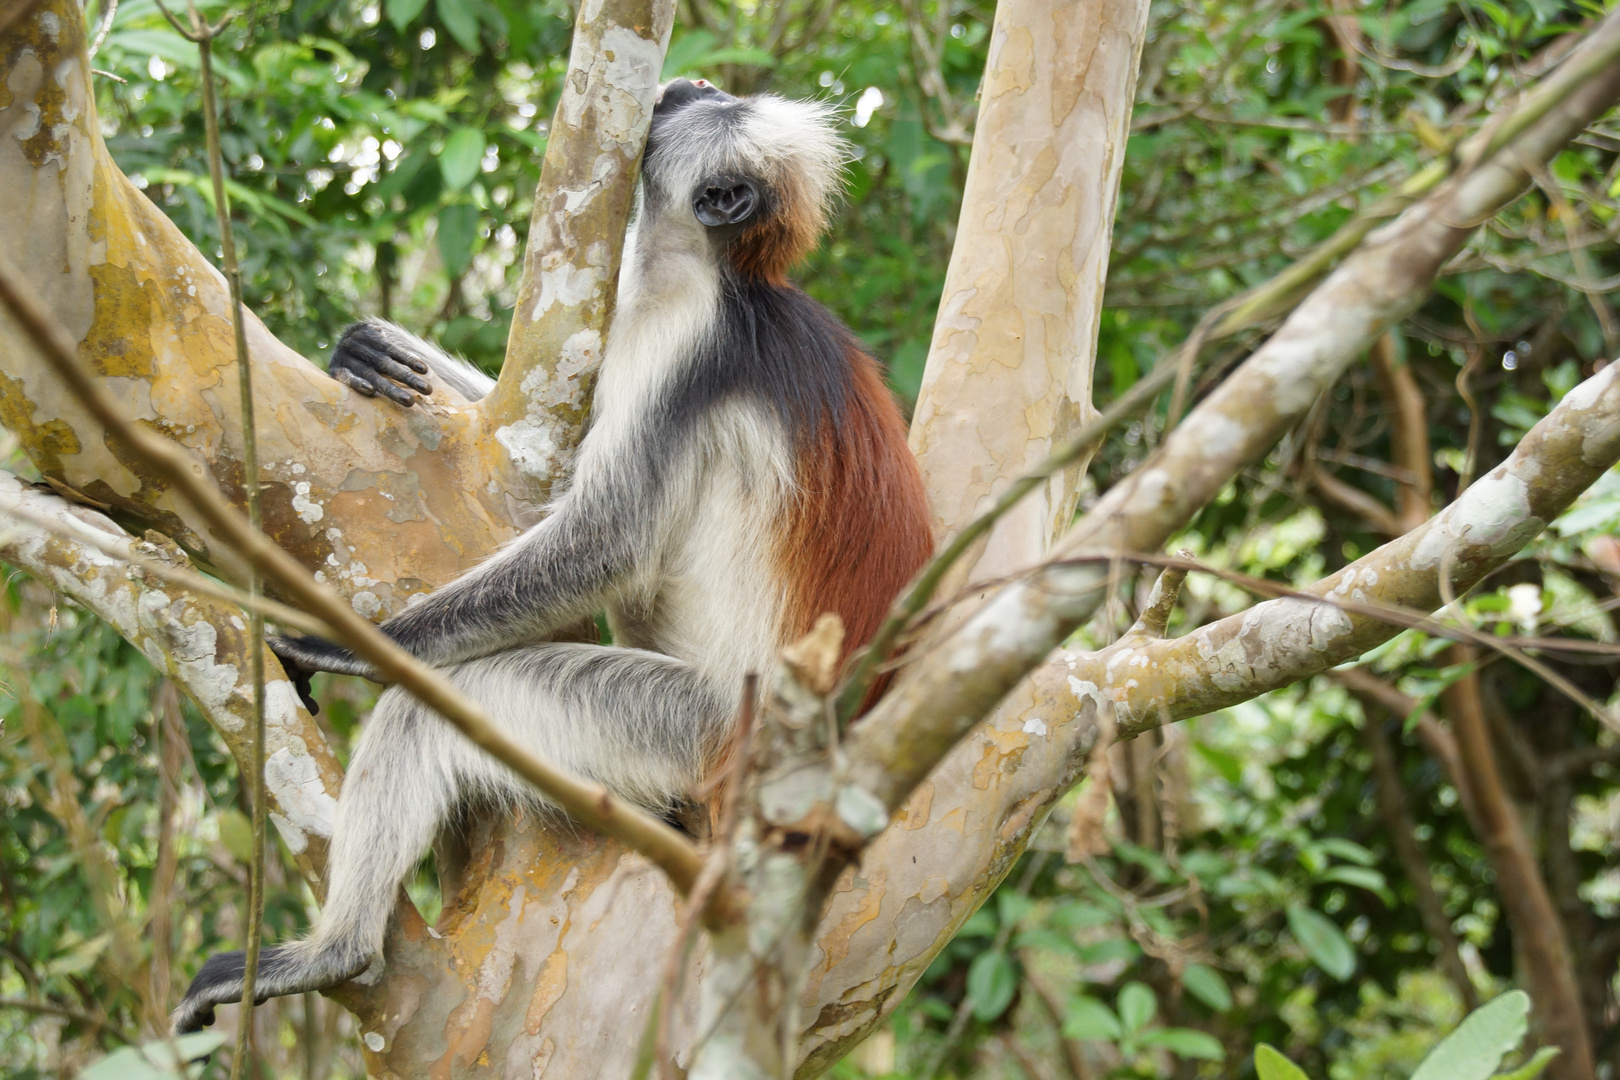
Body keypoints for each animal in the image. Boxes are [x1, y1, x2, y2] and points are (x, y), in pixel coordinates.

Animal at [170, 78, 933, 1029]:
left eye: (709, 103)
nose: (683, 86)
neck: (715, 276)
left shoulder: (682, 345)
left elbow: (605, 542)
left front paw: (333, 641)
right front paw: (375, 354)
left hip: (694, 723)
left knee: (440, 705)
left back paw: (335, 952)